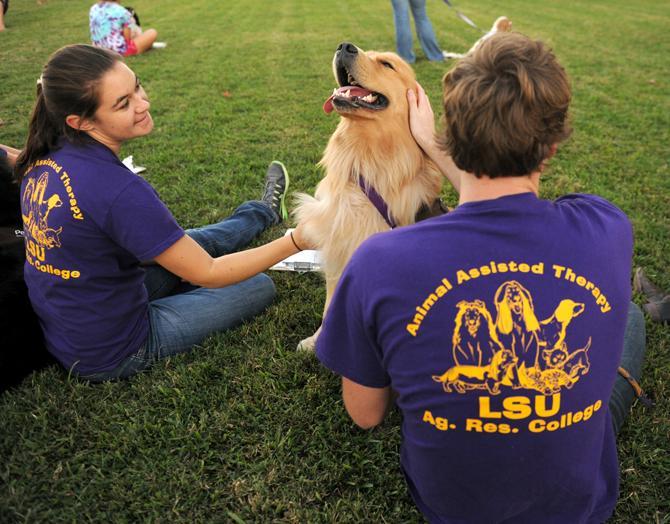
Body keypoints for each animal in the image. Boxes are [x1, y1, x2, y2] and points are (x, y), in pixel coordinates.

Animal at [296, 42, 444, 352]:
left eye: (387, 64)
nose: (344, 46)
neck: (368, 159)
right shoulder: (339, 241)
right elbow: (330, 306)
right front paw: (317, 341)